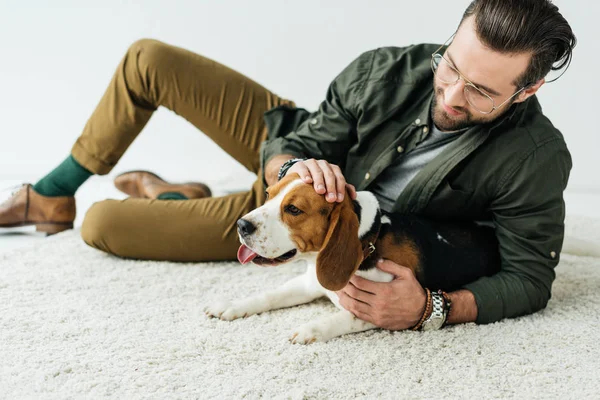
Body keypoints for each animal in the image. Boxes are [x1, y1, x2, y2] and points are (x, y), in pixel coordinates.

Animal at [206, 173, 502, 342]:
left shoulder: (381, 308)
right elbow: (269, 296)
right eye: (268, 194)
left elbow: (340, 319)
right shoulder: (308, 284)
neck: (368, 241)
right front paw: (232, 305)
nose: (241, 225)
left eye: (293, 209)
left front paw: (309, 330)